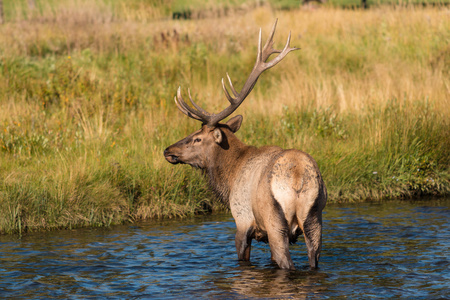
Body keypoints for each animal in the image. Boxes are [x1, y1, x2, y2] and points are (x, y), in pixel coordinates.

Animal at [163, 21, 326, 270]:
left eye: (197, 138)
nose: (168, 150)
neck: (229, 177)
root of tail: (298, 179)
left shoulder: (242, 221)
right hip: (315, 218)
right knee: (313, 260)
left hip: (274, 221)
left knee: (286, 262)